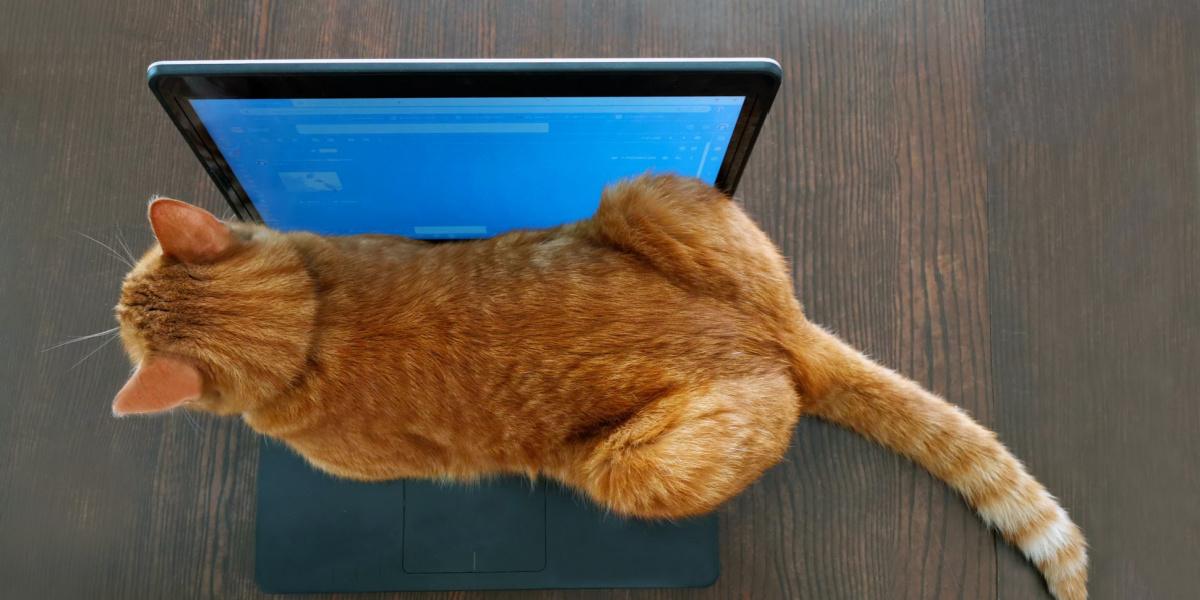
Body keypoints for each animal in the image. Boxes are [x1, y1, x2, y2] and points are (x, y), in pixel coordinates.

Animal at [112, 175, 1089, 600]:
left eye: (123, 306)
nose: (116, 301)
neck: (308, 320)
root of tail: (774, 332)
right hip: (647, 192)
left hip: (639, 465)